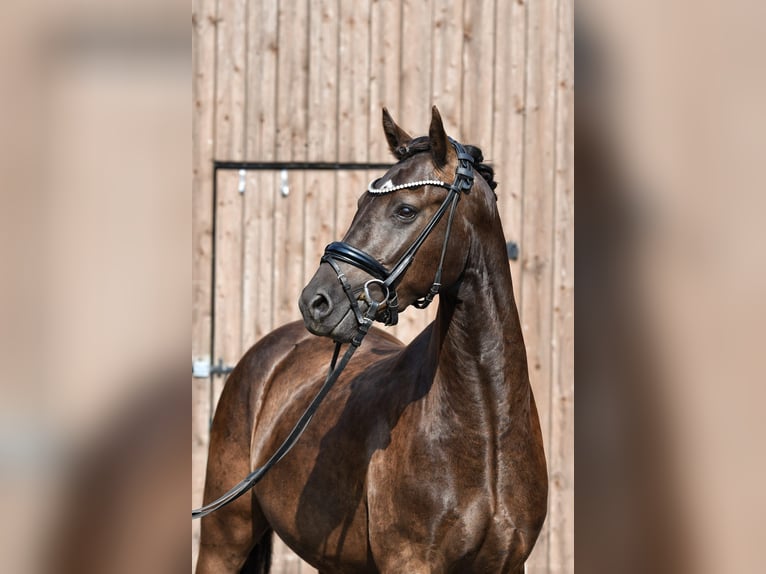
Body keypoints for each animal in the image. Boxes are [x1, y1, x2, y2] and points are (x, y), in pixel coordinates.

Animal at [196, 106, 548, 573]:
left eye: (405, 209)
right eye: (362, 203)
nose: (316, 301)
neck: (486, 427)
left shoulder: (508, 564)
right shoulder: (409, 562)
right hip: (223, 540)